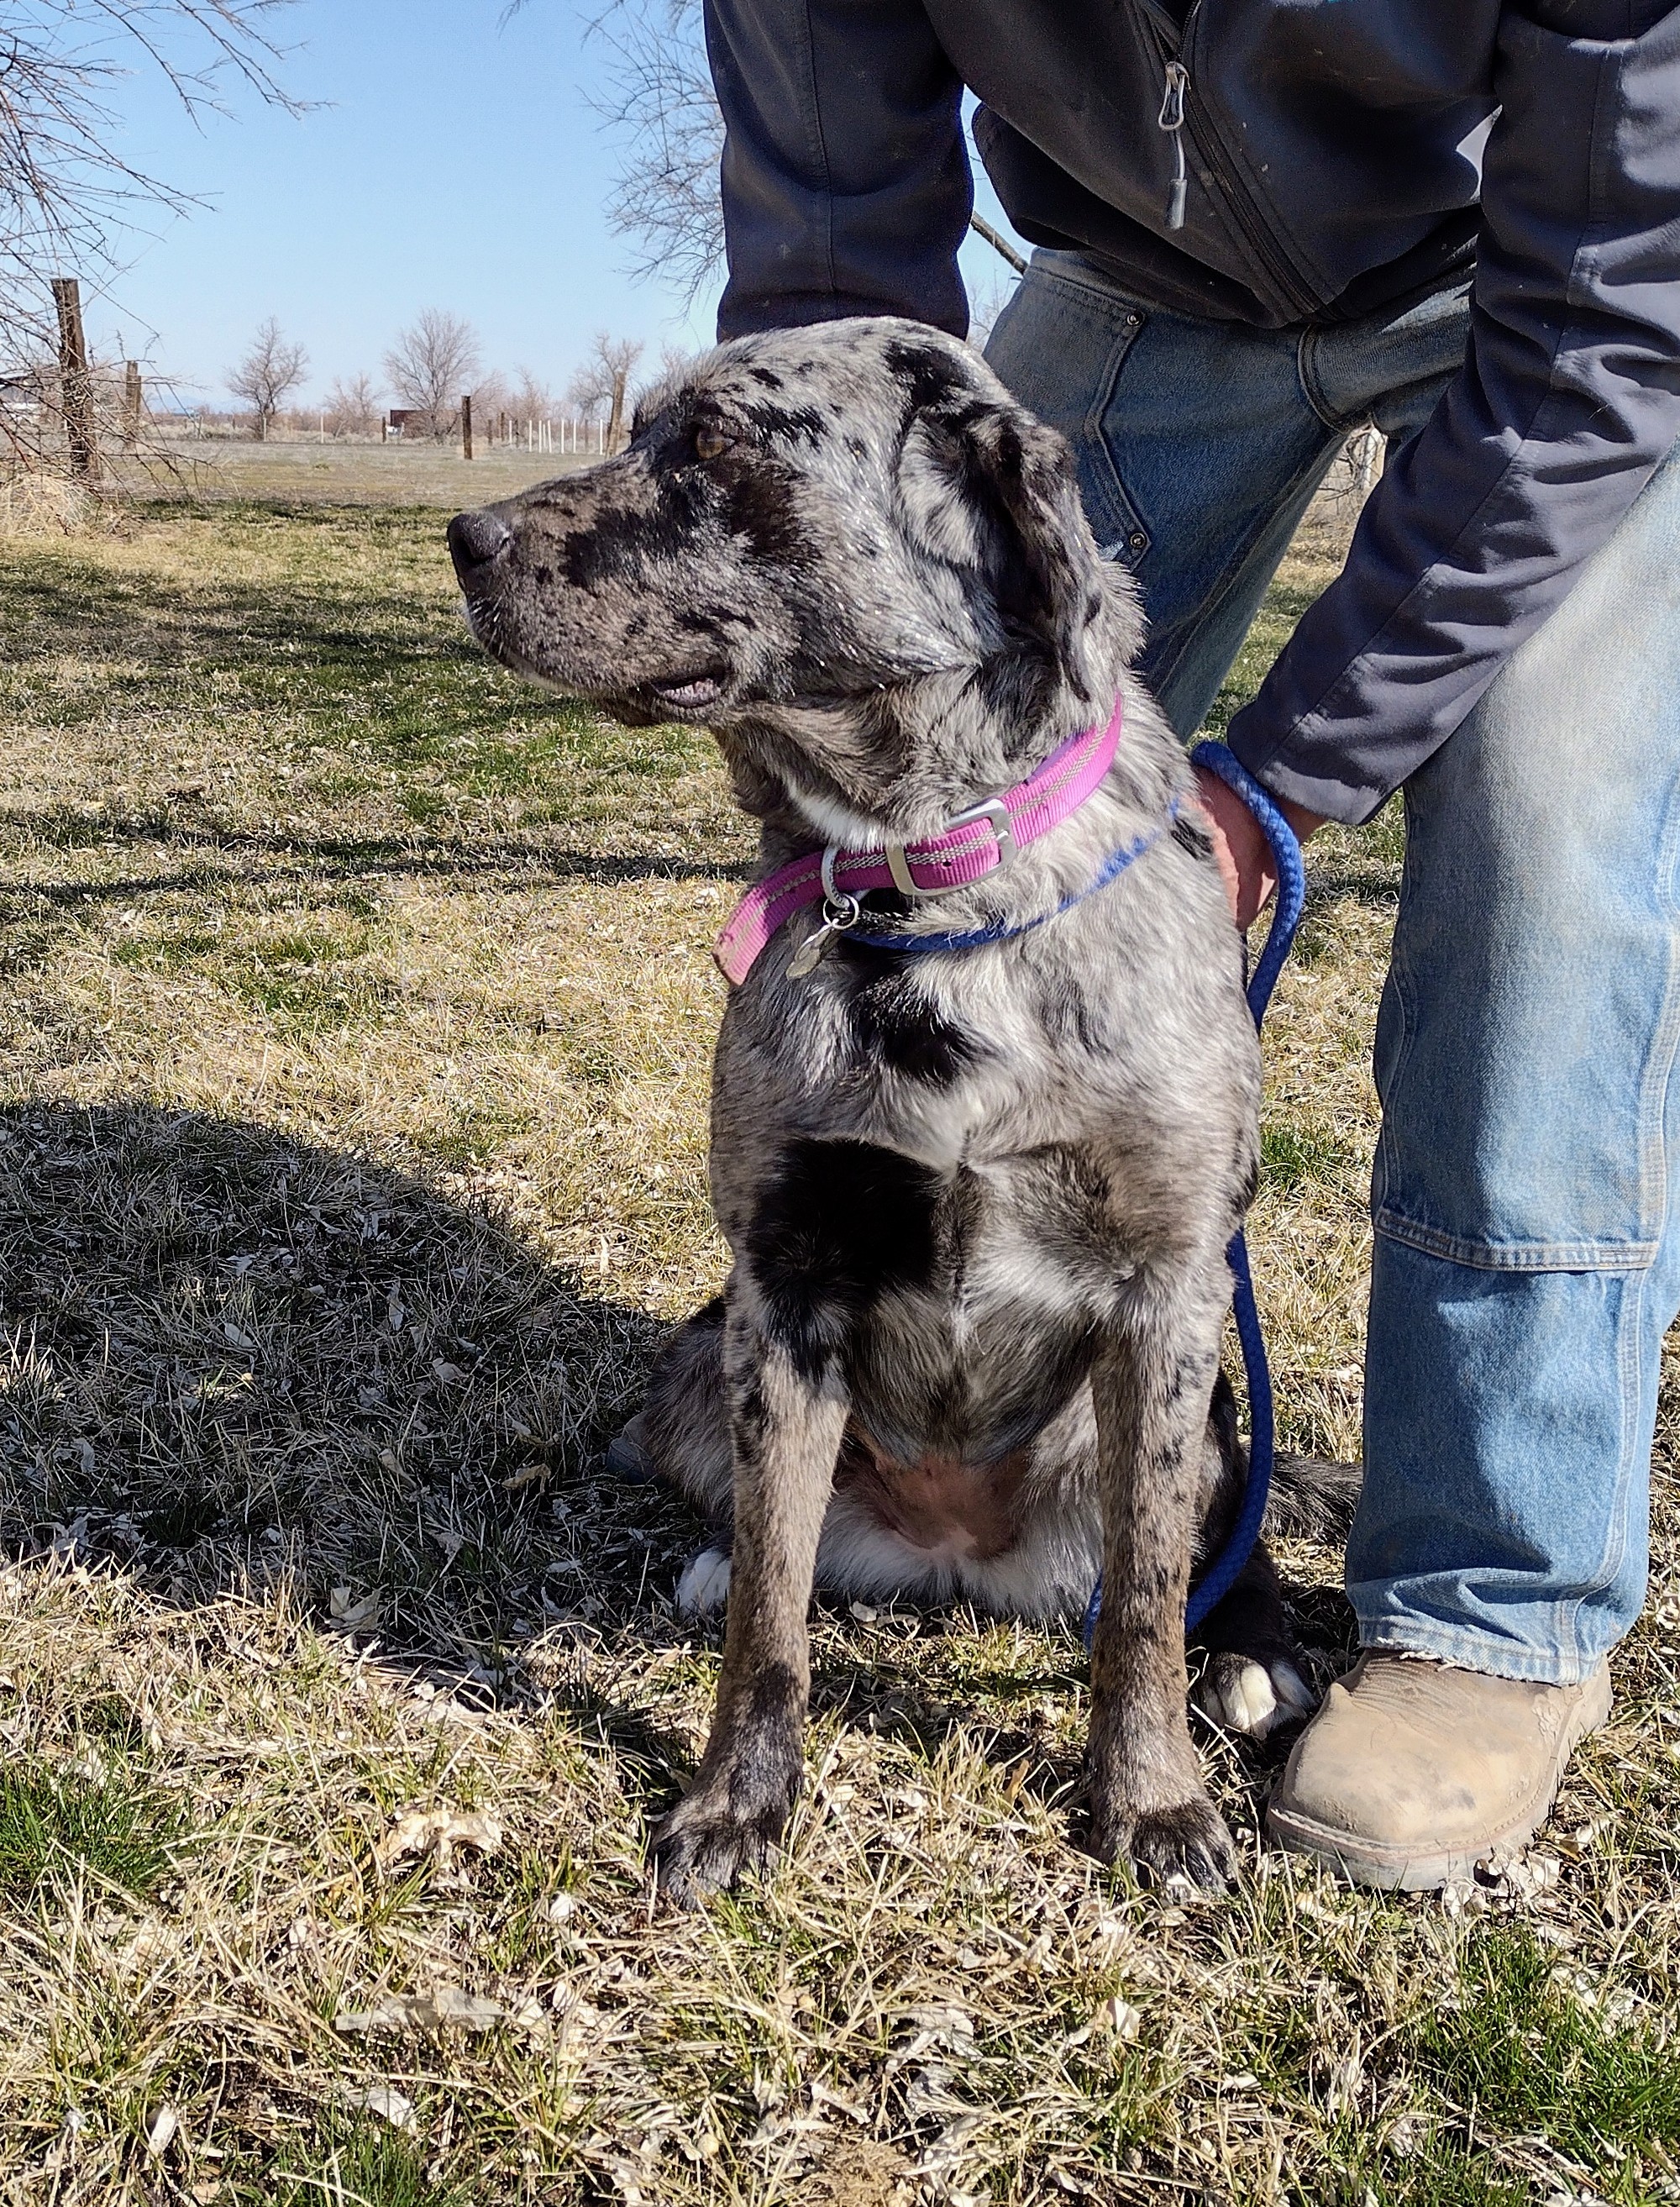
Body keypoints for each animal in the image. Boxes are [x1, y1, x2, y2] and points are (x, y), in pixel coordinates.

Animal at [445, 319, 1351, 1906]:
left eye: (717, 447)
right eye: (639, 430)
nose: (462, 536)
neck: (932, 890)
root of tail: (957, 1556)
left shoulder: (1170, 1295)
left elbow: (1143, 1608)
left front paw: (1153, 1798)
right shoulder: (783, 1289)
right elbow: (772, 1608)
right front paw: (736, 1801)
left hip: (1208, 1392)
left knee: (1206, 1546)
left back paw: (1256, 1653)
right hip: (693, 1368)